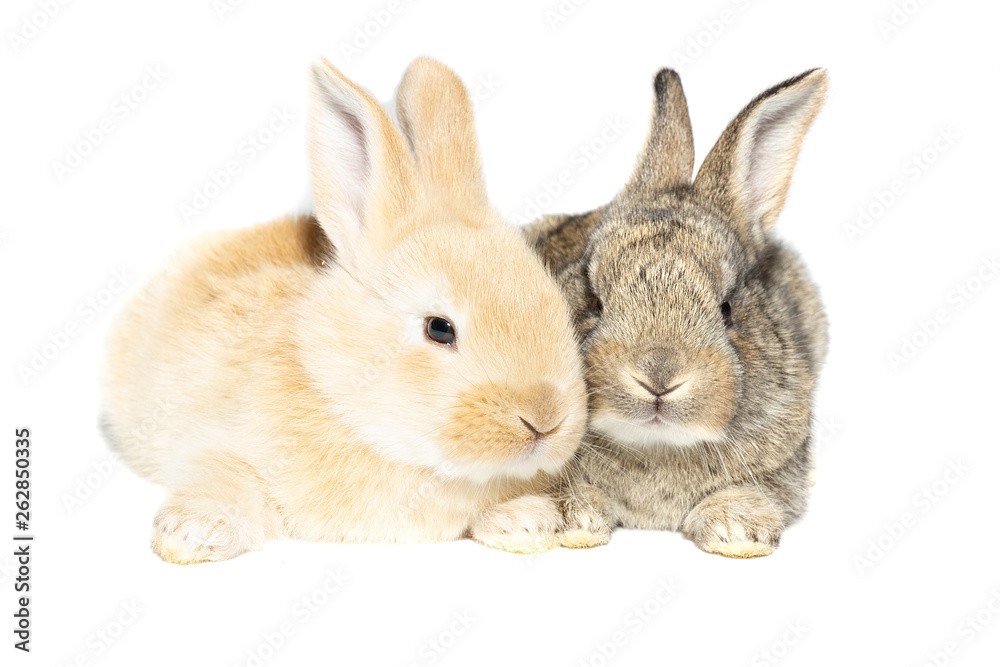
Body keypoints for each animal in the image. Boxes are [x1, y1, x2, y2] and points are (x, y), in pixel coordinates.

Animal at [102, 57, 588, 564]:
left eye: (557, 307)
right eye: (439, 328)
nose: (545, 419)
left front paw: (527, 522)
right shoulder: (213, 442)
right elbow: (221, 476)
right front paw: (191, 534)